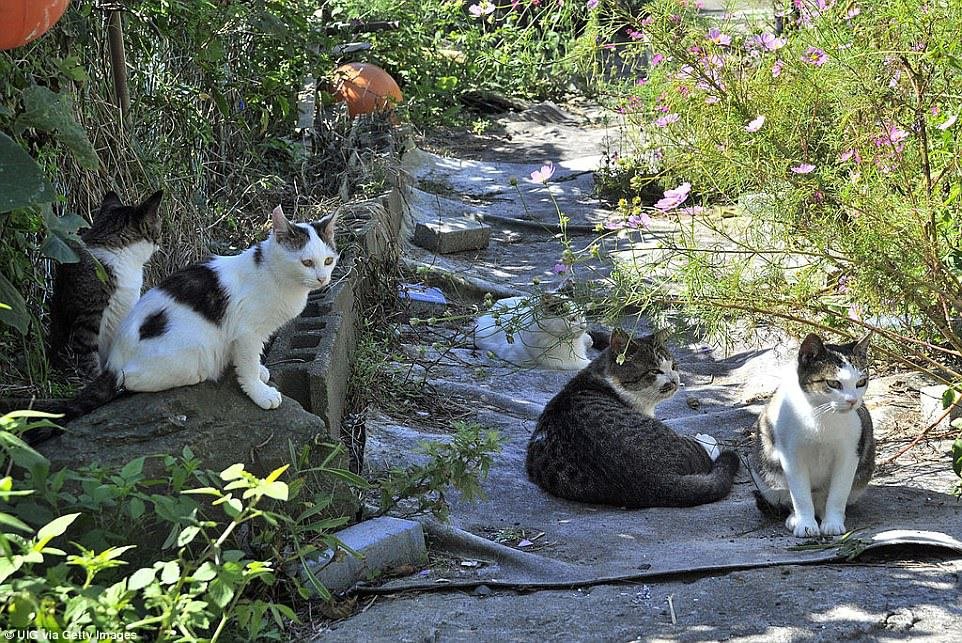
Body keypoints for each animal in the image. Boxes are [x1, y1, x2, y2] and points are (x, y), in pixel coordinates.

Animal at [752, 334, 876, 540]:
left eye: (861, 382)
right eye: (833, 383)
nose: (852, 401)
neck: (821, 414)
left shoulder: (850, 453)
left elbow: (839, 492)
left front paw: (833, 522)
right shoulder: (791, 455)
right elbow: (800, 496)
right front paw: (805, 524)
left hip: (861, 477)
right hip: (765, 474)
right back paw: (795, 517)